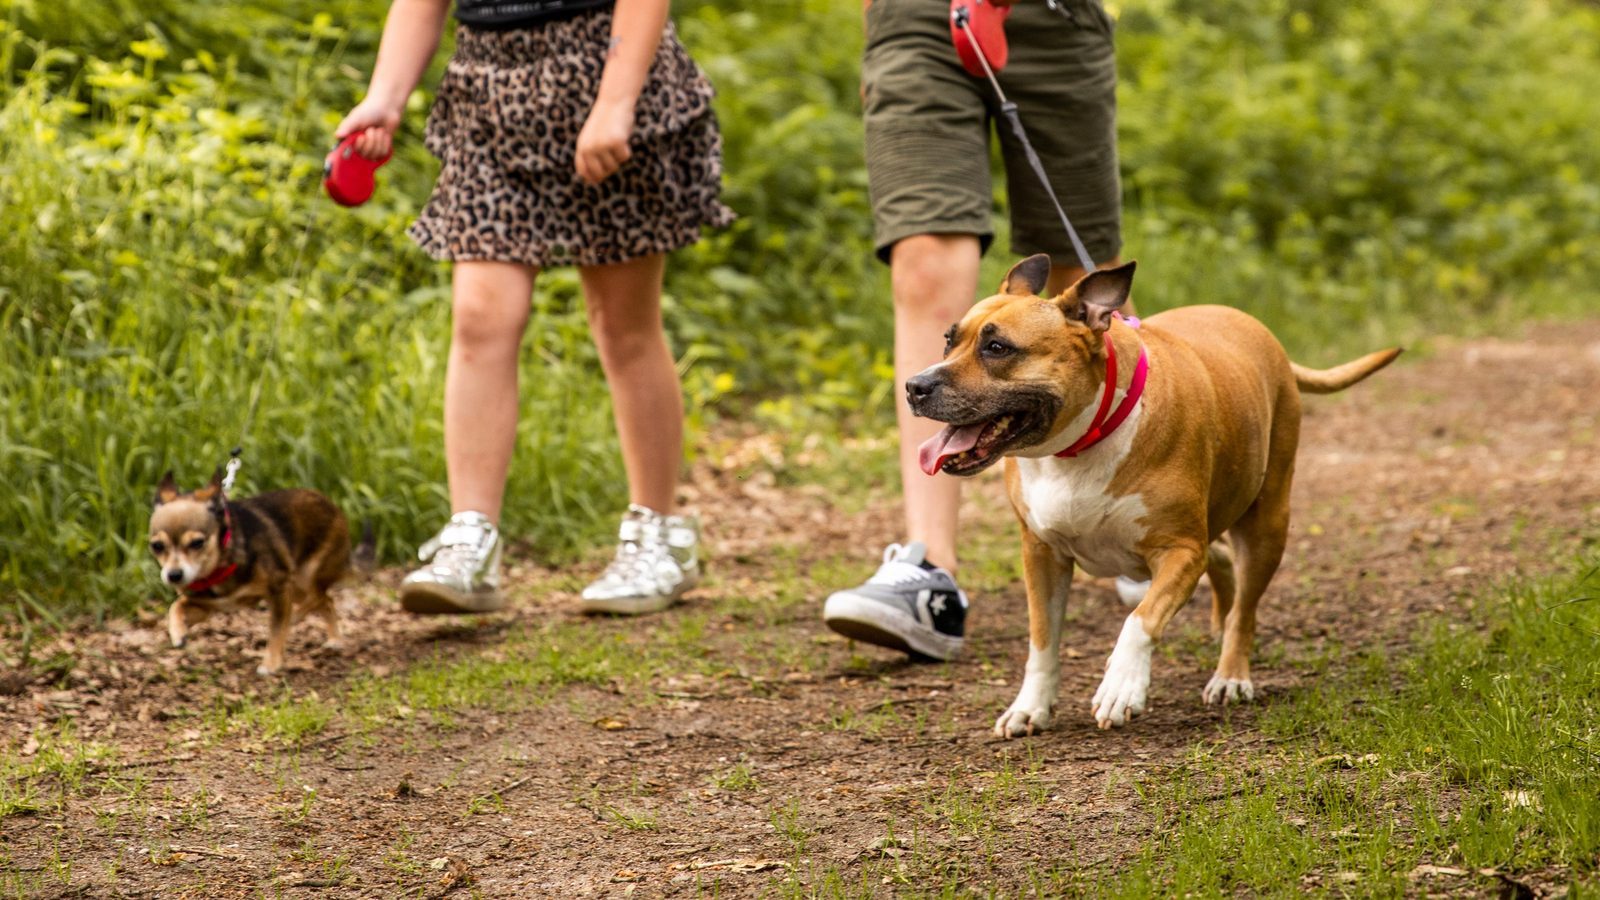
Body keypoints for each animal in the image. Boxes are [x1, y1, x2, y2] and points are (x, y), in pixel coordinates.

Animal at [149, 470, 356, 672]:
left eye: (197, 543)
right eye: (156, 546)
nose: (174, 575)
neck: (217, 570)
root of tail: (329, 503)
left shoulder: (280, 589)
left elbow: (277, 629)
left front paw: (271, 664)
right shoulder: (205, 606)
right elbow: (176, 606)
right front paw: (178, 633)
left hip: (305, 577)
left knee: (316, 597)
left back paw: (299, 617)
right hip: (297, 587)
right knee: (326, 600)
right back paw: (335, 639)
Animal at [915, 253, 1401, 730]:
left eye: (997, 348)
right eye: (948, 340)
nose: (915, 385)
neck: (1080, 444)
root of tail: (1256, 327)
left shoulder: (1180, 551)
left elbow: (1141, 619)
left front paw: (1121, 685)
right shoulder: (1042, 555)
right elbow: (1042, 640)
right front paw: (1030, 705)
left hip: (1267, 524)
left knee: (1245, 607)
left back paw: (1230, 675)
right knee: (1221, 559)